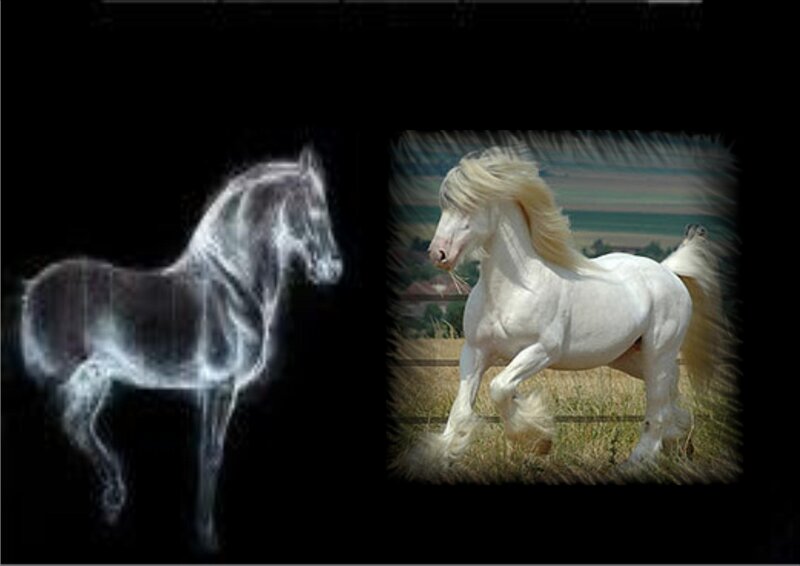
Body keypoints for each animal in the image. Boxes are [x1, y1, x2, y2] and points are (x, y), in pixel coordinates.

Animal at [19, 147, 343, 549]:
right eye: (316, 208)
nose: (333, 269)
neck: (232, 285)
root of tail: (31, 290)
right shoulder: (221, 388)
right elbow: (210, 456)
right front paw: (206, 535)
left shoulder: (206, 391)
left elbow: (206, 453)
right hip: (56, 383)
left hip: (94, 380)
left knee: (78, 427)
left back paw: (114, 499)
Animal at [418, 146, 721, 470]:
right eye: (444, 206)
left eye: (471, 205)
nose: (438, 254)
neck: (514, 288)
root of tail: (668, 271)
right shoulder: (474, 351)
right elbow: (461, 409)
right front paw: (443, 454)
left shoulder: (542, 351)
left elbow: (500, 388)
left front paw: (537, 438)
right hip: (627, 357)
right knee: (669, 392)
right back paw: (679, 439)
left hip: (659, 352)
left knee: (658, 407)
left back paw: (637, 462)